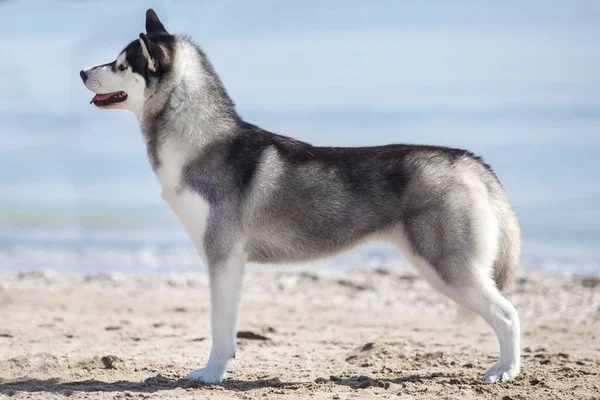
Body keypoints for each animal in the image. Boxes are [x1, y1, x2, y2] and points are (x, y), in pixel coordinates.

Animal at [79, 9, 520, 384]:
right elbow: (227, 328)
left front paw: (211, 374)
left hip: (448, 267)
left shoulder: (223, 257)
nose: (82, 71)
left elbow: (219, 328)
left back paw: (506, 371)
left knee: (508, 313)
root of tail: (469, 161)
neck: (201, 143)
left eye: (121, 65)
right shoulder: (228, 261)